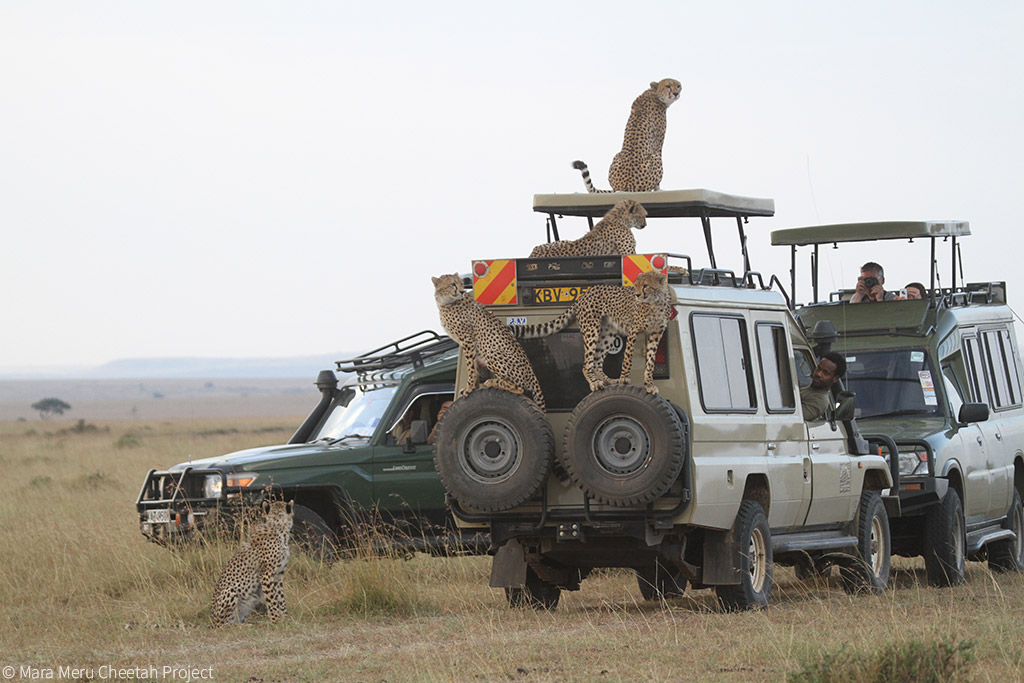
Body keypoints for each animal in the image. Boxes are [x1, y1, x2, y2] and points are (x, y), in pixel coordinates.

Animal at [210, 497, 294, 626]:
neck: (278, 526)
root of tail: (212, 621)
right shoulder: (266, 575)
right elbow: (272, 600)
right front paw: (274, 621)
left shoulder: (278, 575)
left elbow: (281, 598)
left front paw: (285, 619)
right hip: (231, 591)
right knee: (225, 625)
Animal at [430, 272, 544, 411]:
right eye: (453, 284)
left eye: (461, 284)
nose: (462, 291)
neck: (446, 302)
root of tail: (532, 373)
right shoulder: (468, 343)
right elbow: (473, 365)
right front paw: (474, 386)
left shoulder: (467, 339)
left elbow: (470, 367)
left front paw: (469, 387)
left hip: (492, 353)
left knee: (520, 388)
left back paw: (492, 382)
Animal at [509, 268, 671, 393]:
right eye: (636, 285)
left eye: (646, 286)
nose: (637, 295)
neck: (655, 302)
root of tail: (584, 295)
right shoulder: (634, 330)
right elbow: (628, 357)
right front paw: (624, 378)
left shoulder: (656, 334)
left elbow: (650, 362)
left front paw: (649, 385)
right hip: (592, 329)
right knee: (587, 364)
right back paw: (595, 383)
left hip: (608, 334)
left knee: (597, 362)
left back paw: (608, 380)